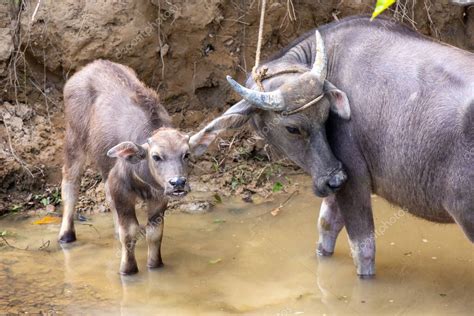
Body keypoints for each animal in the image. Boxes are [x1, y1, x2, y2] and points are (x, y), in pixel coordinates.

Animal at [190, 15, 474, 276]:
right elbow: (326, 226)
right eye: (293, 128)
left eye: (326, 116)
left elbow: (363, 248)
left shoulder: (355, 181)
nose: (334, 179)